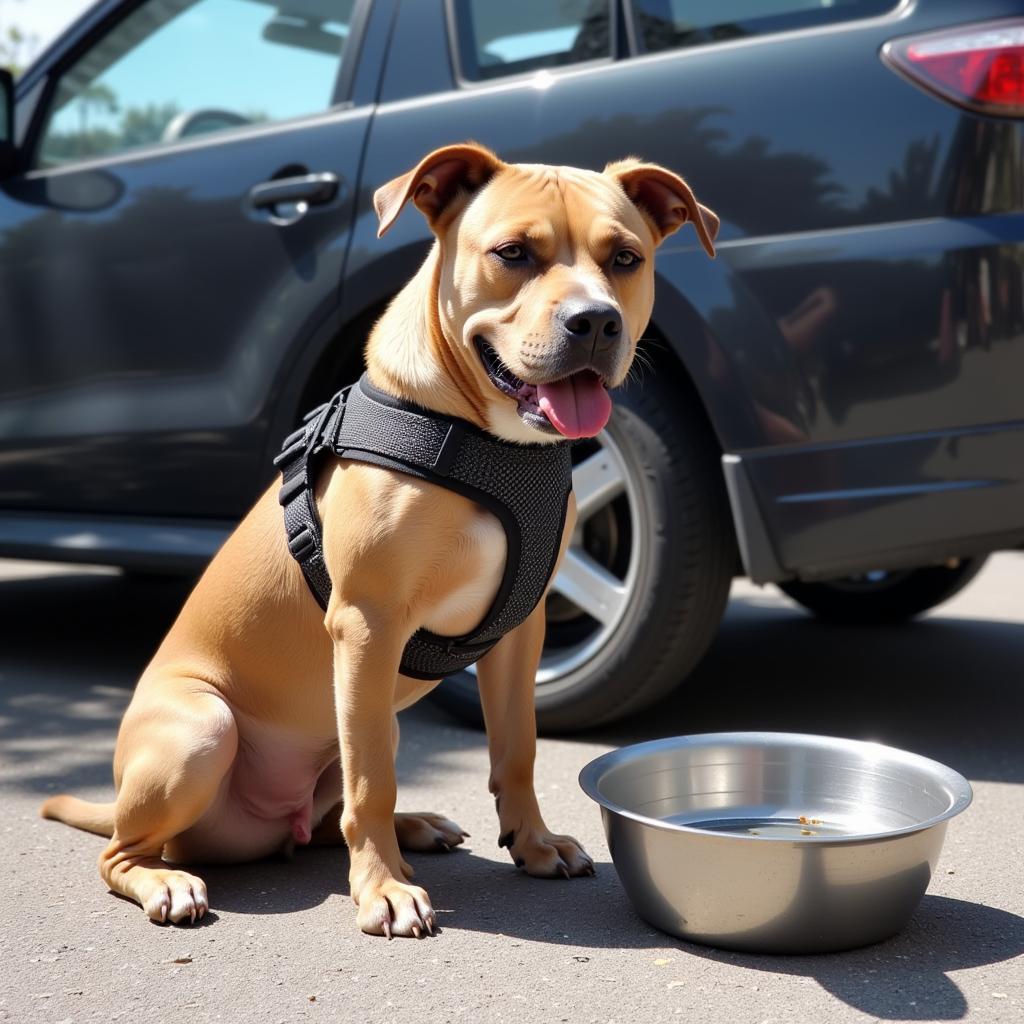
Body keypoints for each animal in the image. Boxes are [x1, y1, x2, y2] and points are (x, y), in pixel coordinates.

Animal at [39, 142, 720, 937]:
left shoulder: (522, 631)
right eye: (513, 254)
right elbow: (372, 784)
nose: (596, 321)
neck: (492, 443)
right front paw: (383, 889)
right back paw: (170, 881)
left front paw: (535, 842)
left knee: (328, 812)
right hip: (204, 729)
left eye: (626, 258)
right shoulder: (368, 623)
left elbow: (515, 748)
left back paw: (414, 826)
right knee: (128, 850)